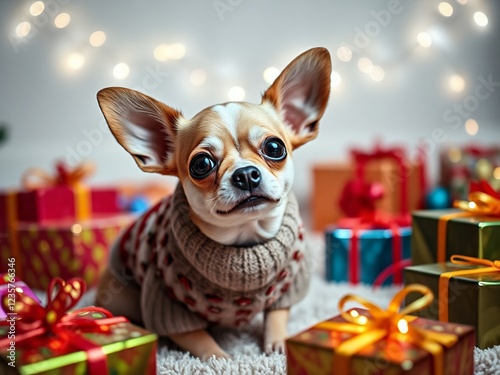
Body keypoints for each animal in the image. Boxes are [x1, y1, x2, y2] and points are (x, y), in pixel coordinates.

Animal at [95, 47, 332, 362]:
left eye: (274, 148)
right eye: (201, 164)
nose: (245, 174)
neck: (244, 241)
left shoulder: (288, 287)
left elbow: (277, 315)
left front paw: (278, 345)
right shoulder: (166, 304)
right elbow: (199, 340)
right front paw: (222, 359)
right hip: (123, 297)